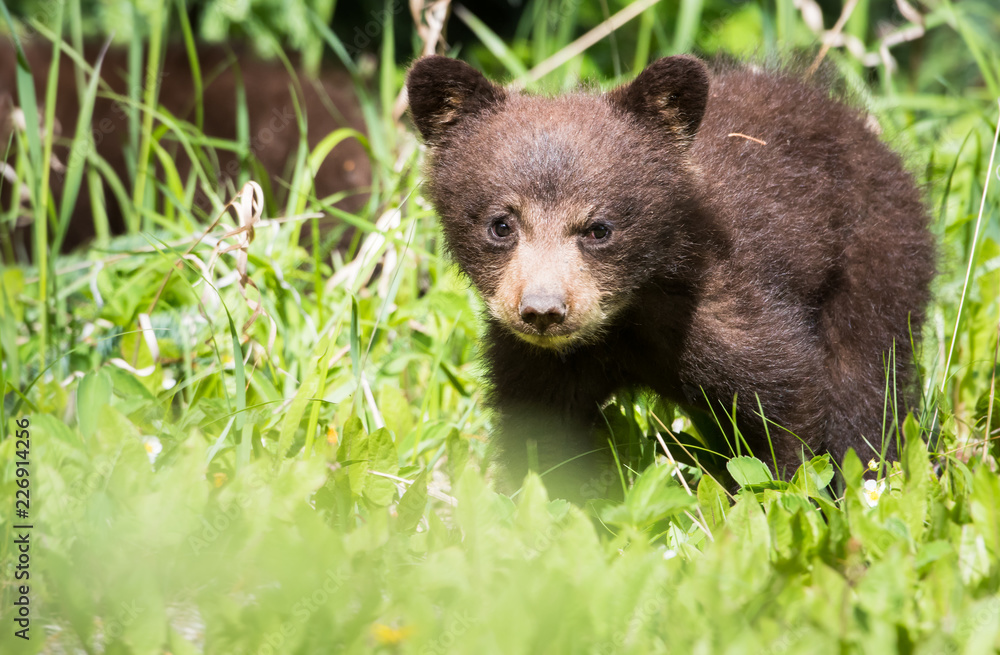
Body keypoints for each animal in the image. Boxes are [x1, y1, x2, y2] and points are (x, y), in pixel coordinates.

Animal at [405, 55, 934, 500]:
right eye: (501, 224)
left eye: (599, 228)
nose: (543, 311)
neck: (623, 318)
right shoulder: (537, 364)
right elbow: (539, 440)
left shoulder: (724, 309)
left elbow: (789, 403)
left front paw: (781, 500)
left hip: (875, 260)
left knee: (864, 384)